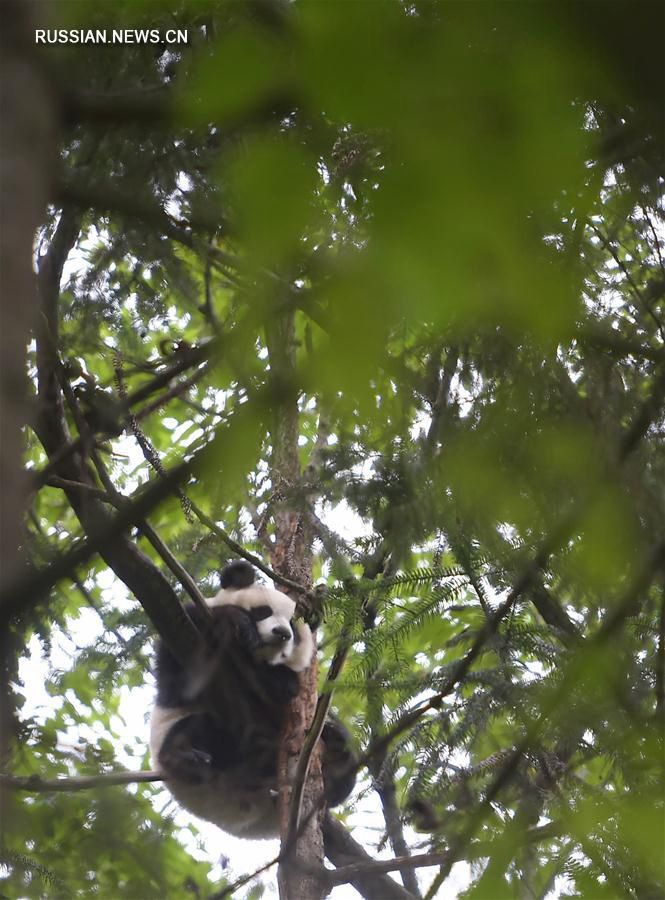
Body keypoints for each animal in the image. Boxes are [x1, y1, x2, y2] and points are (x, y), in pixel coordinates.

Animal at [150, 560, 356, 840]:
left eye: (293, 626)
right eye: (262, 612)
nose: (281, 633)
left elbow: (285, 689)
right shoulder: (185, 633)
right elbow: (179, 679)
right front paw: (238, 623)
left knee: (344, 774)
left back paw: (336, 747)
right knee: (203, 726)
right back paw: (182, 757)